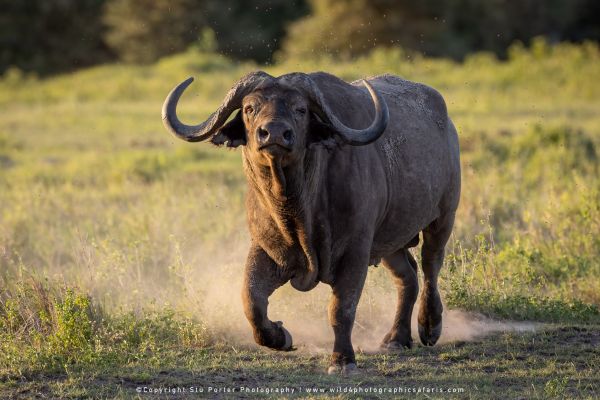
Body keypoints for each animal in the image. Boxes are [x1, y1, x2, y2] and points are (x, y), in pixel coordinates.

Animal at [162, 70, 462, 374]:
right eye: (249, 108)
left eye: (301, 109)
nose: (274, 133)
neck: (298, 209)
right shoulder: (266, 248)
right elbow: (251, 302)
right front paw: (280, 337)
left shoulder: (356, 251)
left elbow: (341, 309)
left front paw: (342, 360)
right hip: (390, 242)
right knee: (407, 277)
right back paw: (396, 339)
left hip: (443, 218)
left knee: (430, 266)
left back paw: (429, 326)